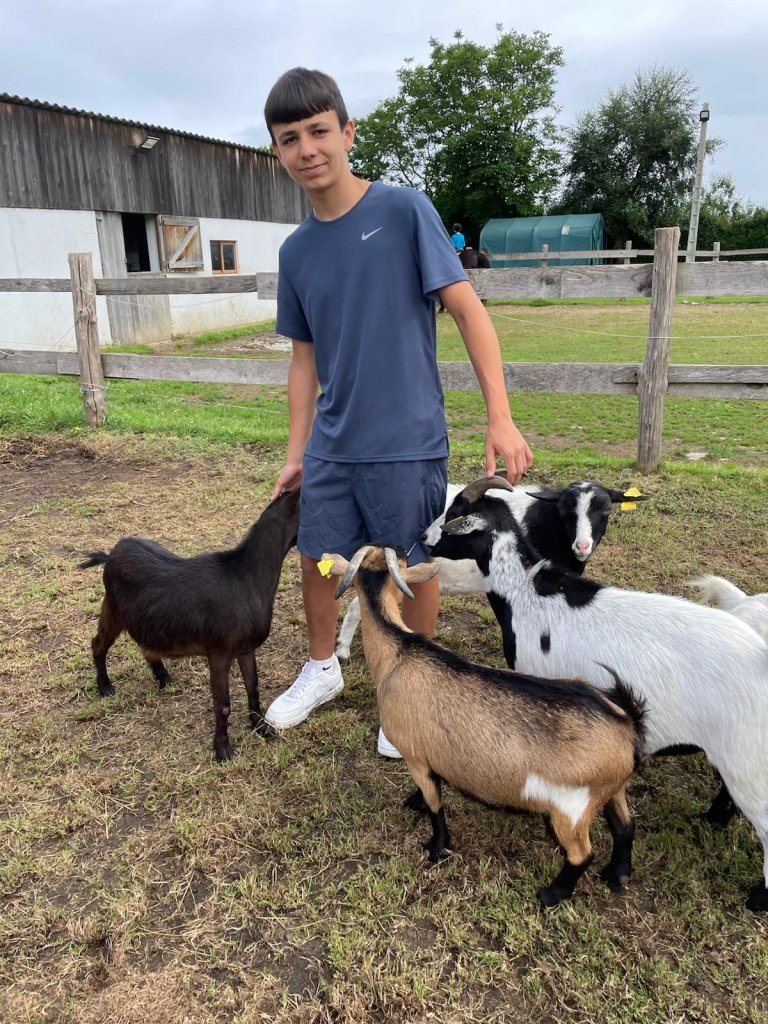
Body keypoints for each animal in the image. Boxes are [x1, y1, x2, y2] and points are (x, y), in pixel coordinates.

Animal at [79, 488, 300, 761]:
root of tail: (110, 554)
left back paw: (163, 678)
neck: (247, 578)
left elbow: (253, 686)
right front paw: (223, 749)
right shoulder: (219, 652)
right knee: (98, 644)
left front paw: (261, 727)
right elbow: (222, 704)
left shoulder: (247, 648)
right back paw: (105, 687)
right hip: (112, 607)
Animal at [323, 543, 646, 908]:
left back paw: (551, 894)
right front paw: (415, 803)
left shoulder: (415, 756)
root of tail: (626, 727)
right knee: (625, 827)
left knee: (581, 854)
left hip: (571, 808)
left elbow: (435, 804)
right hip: (612, 790)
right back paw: (617, 875)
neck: (398, 651)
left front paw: (437, 848)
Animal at [428, 476, 768, 912]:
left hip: (748, 760)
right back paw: (709, 822)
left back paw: (757, 897)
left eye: (455, 514)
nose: (424, 539)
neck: (529, 593)